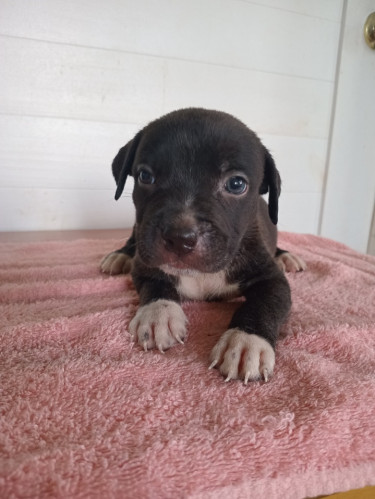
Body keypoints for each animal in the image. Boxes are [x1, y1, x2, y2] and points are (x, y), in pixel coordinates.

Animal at [100, 107, 306, 384]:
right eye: (145, 176)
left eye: (236, 184)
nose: (180, 238)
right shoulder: (145, 265)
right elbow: (156, 283)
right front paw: (158, 314)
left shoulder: (271, 279)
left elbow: (265, 303)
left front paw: (246, 341)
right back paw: (120, 256)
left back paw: (286, 256)